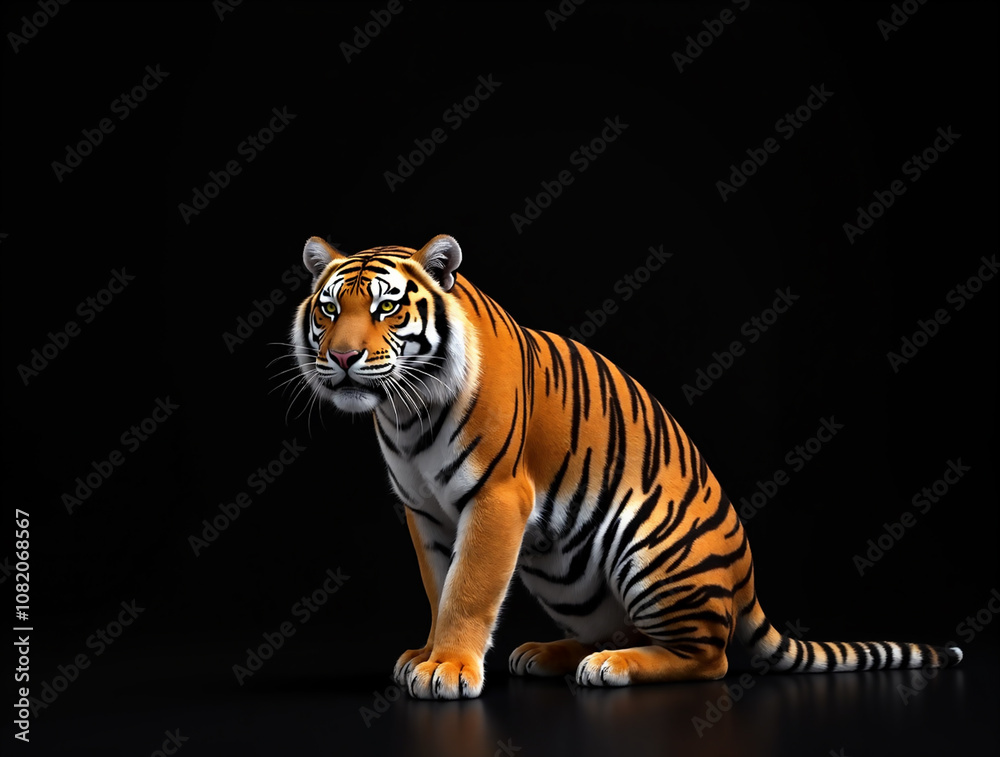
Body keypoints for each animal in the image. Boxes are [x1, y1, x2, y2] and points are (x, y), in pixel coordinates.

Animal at [290, 233, 963, 700]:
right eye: (329, 311)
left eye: (386, 310)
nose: (342, 357)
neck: (406, 413)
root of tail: (745, 577)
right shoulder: (424, 512)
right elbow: (438, 586)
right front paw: (428, 654)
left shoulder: (495, 498)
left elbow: (468, 589)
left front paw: (449, 669)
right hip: (565, 578)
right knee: (627, 630)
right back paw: (550, 654)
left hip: (654, 553)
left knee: (708, 657)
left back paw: (609, 668)